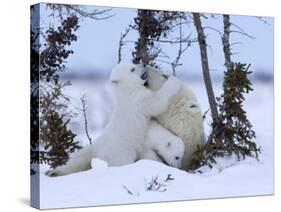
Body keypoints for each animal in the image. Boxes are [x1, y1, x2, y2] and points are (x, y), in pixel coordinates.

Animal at [46, 63, 182, 176]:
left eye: (133, 63)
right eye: (132, 69)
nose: (143, 64)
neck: (126, 90)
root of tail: (98, 152)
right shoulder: (138, 100)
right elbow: (157, 102)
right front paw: (173, 81)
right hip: (121, 152)